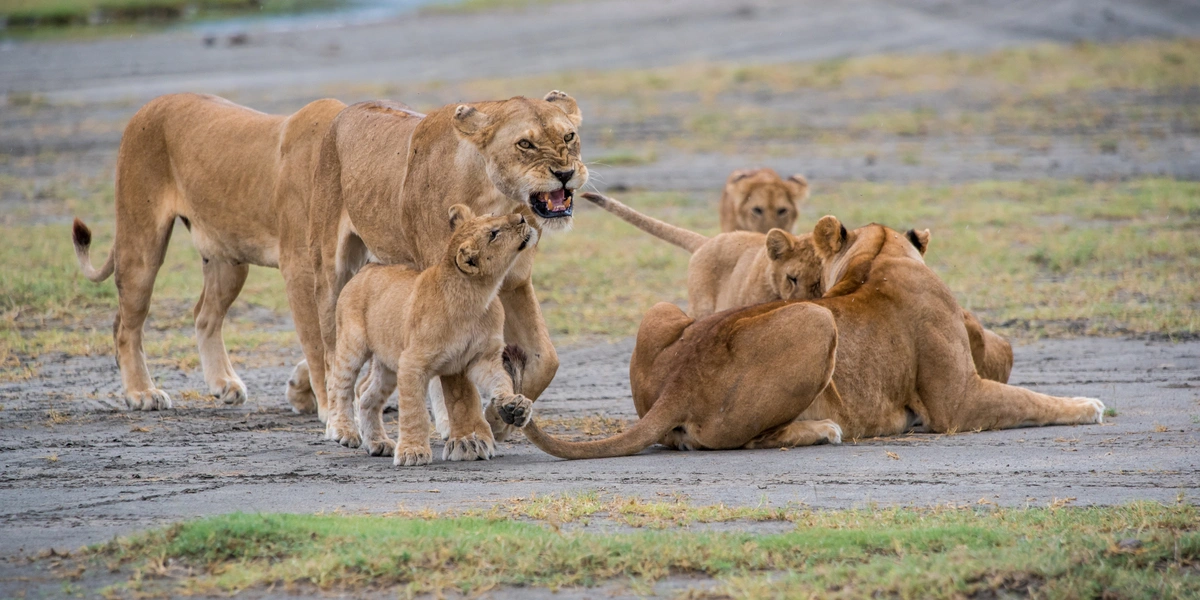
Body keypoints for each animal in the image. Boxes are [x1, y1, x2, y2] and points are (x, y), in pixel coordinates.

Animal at [70, 93, 345, 412]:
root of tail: (152, 104)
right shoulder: (299, 266)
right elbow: (318, 343)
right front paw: (327, 405)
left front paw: (303, 389)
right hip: (140, 246)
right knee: (127, 326)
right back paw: (142, 392)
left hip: (227, 260)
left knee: (204, 315)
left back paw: (223, 382)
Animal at [326, 206, 537, 463]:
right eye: (493, 234)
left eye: (493, 216)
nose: (522, 217)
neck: (478, 297)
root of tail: (369, 266)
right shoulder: (412, 363)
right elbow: (414, 411)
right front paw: (413, 451)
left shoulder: (483, 357)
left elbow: (501, 379)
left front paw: (513, 405)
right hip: (352, 345)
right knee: (341, 384)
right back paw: (344, 431)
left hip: (388, 362)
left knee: (367, 396)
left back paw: (378, 443)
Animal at [506, 217, 1104, 458]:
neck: (878, 256)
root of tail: (682, 381)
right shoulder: (957, 401)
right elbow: (1030, 399)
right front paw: (1089, 405)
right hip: (818, 322)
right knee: (736, 440)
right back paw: (823, 430)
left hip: (663, 311)